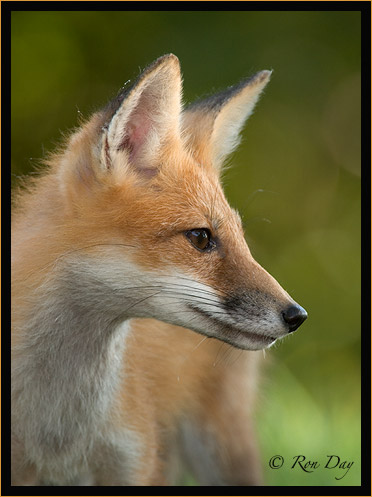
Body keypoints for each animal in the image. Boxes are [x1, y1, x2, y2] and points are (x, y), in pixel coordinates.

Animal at [12, 54, 308, 484]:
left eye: (241, 237)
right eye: (201, 237)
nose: (297, 315)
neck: (55, 435)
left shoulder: (136, 462)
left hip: (220, 448)